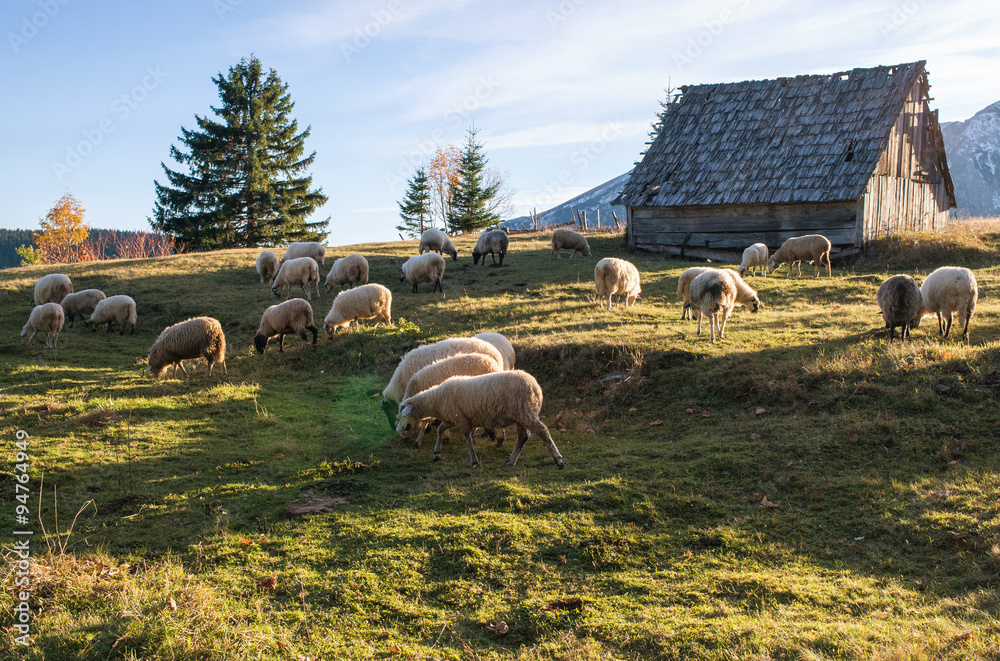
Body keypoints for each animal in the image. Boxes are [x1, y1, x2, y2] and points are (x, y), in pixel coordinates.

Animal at [397, 370, 564, 469]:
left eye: (402, 415)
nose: (402, 432)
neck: (438, 399)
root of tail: (536, 387)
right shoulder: (453, 419)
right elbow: (440, 429)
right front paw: (437, 453)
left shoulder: (462, 420)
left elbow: (467, 439)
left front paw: (473, 461)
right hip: (520, 416)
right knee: (523, 437)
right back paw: (511, 460)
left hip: (526, 412)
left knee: (542, 431)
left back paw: (558, 460)